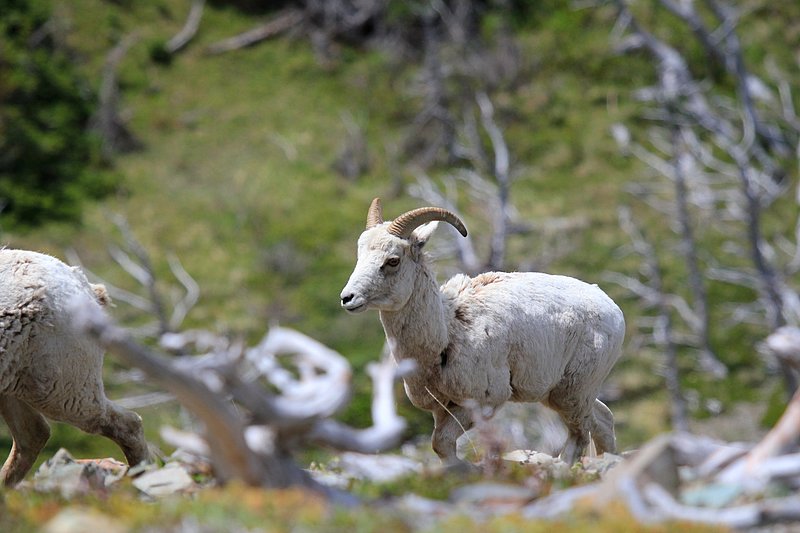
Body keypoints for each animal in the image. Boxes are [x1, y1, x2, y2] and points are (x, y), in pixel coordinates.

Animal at [340, 198, 625, 466]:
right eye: (359, 255)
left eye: (393, 260)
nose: (347, 298)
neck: (446, 331)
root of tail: (613, 309)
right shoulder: (441, 409)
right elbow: (441, 446)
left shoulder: (484, 403)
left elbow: (441, 443)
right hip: (568, 394)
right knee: (603, 420)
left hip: (572, 394)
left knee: (579, 437)